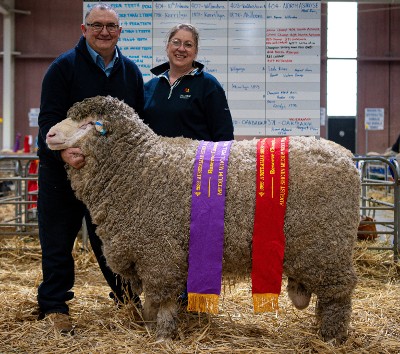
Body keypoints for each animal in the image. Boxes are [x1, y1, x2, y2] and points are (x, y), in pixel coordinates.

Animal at [45, 96, 360, 342]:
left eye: (89, 123)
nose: (49, 134)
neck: (138, 167)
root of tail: (347, 158)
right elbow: (152, 300)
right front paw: (151, 325)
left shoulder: (160, 252)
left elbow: (162, 300)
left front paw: (163, 335)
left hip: (327, 246)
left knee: (339, 294)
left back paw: (331, 337)